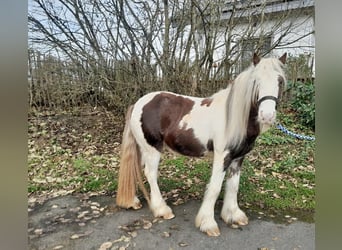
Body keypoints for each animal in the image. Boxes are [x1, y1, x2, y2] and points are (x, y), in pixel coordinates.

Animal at [116, 52, 288, 236]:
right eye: (256, 81)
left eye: (280, 81)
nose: (267, 116)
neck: (234, 117)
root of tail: (138, 104)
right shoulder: (223, 156)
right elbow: (215, 188)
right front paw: (208, 223)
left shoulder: (238, 158)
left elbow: (233, 185)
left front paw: (233, 215)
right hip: (152, 149)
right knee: (150, 174)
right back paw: (162, 209)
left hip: (144, 149)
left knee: (136, 169)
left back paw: (133, 201)